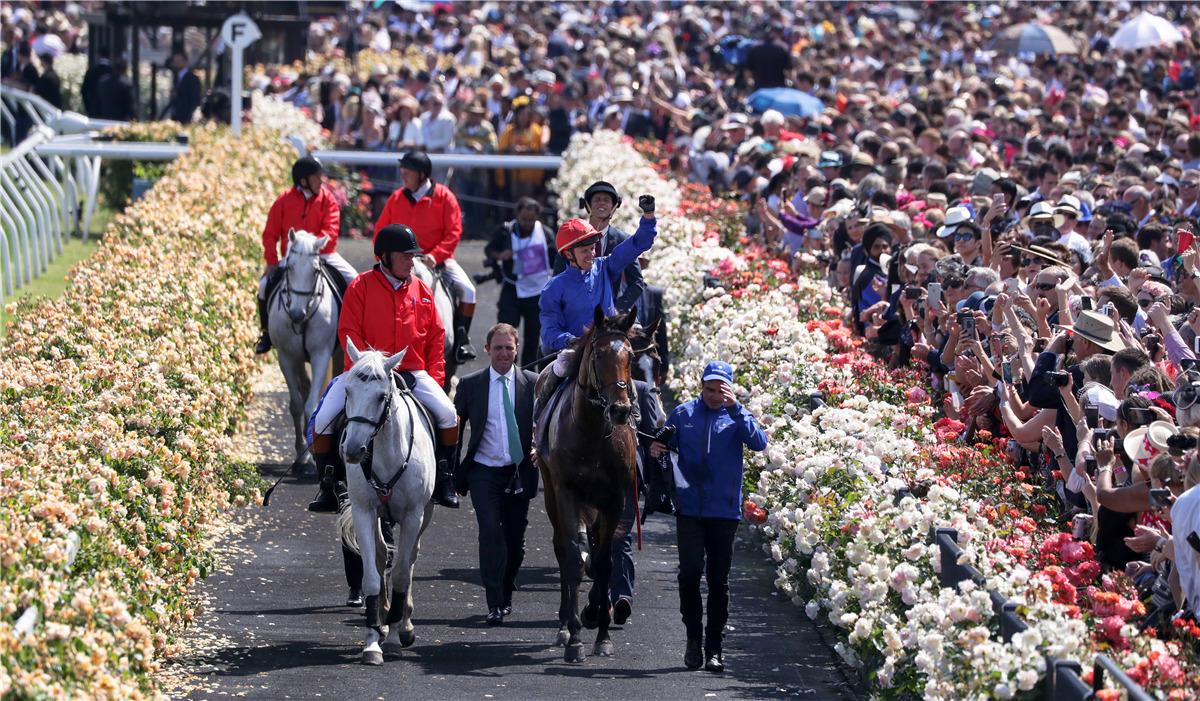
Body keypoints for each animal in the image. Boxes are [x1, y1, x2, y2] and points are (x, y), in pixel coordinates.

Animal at [270, 230, 340, 470]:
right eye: (289, 266)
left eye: (316, 270)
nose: (297, 314)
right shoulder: (287, 357)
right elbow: (296, 405)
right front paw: (302, 454)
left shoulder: (321, 355)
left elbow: (311, 406)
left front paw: (313, 454)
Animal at [333, 343, 436, 667]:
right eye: (347, 391)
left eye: (381, 396)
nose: (353, 450)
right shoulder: (364, 512)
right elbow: (371, 577)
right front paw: (372, 642)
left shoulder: (413, 516)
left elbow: (402, 572)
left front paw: (393, 638)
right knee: (380, 557)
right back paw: (383, 617)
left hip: (425, 515)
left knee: (410, 558)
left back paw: (403, 623)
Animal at [537, 307, 643, 662]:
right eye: (598, 355)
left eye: (630, 357)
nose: (621, 409)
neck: (594, 433)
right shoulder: (567, 492)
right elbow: (572, 557)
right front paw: (574, 638)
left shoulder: (614, 499)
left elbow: (604, 562)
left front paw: (601, 632)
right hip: (551, 490)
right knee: (561, 546)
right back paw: (563, 626)